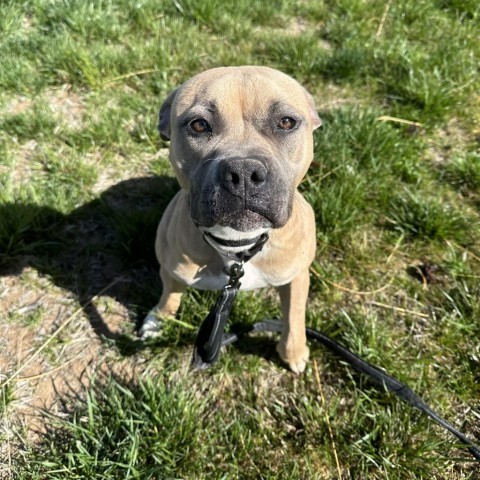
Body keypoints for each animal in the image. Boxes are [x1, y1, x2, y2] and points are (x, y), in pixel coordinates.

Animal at [138, 66, 318, 376]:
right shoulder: (171, 269)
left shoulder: (297, 276)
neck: (237, 245)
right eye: (199, 125)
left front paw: (294, 351)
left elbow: (294, 314)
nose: (244, 173)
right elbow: (170, 293)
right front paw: (159, 318)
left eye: (286, 122)